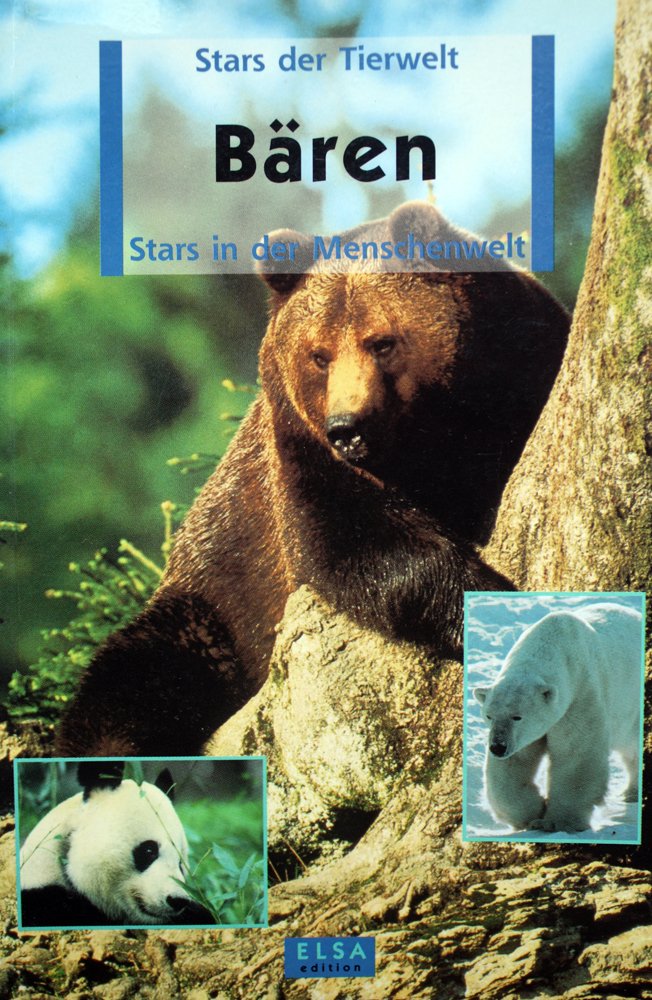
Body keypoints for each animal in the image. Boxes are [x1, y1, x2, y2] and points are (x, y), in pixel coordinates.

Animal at [56, 201, 569, 757]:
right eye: (319, 355)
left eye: (381, 343)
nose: (347, 427)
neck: (430, 438)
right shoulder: (298, 449)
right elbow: (352, 542)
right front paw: (474, 593)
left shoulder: (525, 362)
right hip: (213, 607)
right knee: (134, 678)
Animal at [474, 603, 643, 833]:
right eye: (489, 716)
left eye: (517, 717)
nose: (498, 747)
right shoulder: (522, 735)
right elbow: (515, 762)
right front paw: (531, 814)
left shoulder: (579, 694)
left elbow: (575, 755)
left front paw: (556, 822)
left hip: (631, 705)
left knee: (632, 746)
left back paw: (633, 791)